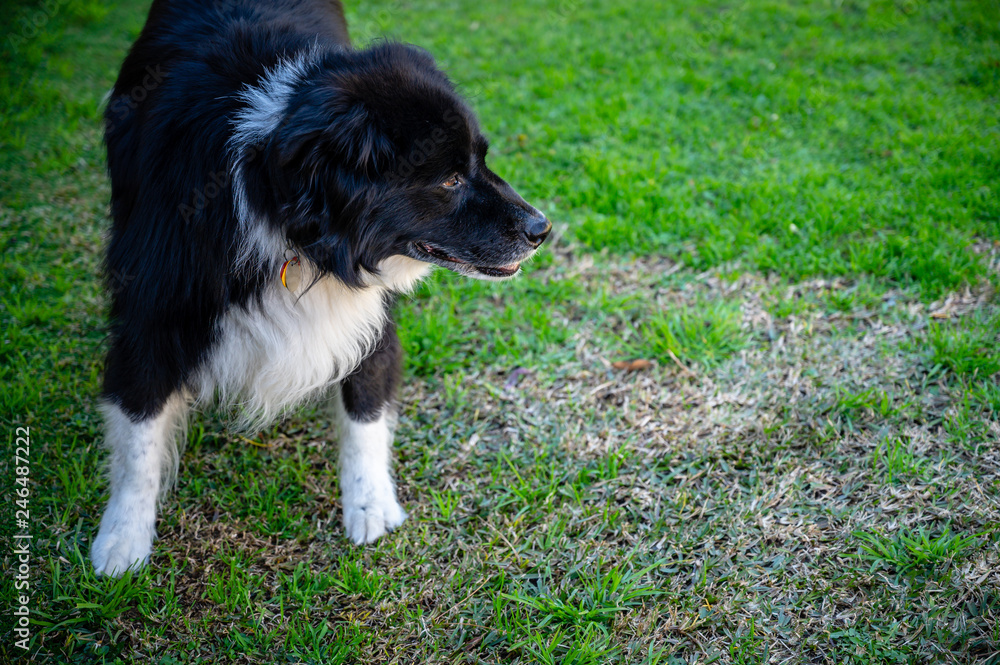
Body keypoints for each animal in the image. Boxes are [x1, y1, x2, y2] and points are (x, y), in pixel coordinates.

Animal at [91, 0, 552, 576]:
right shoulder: (152, 308)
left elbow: (366, 406)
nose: (542, 229)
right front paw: (122, 537)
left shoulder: (368, 308)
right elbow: (138, 430)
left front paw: (370, 503)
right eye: (449, 180)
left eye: (482, 161)